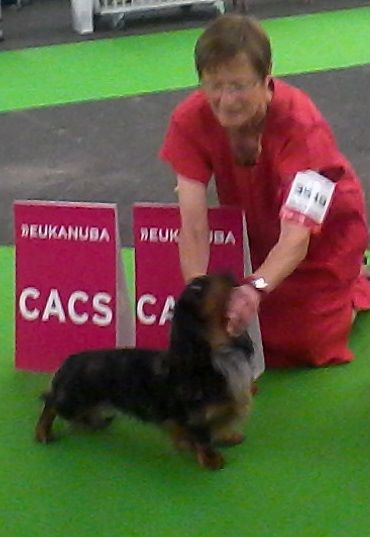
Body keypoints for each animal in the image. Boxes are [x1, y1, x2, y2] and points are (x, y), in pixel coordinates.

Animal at [34, 274, 254, 466]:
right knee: (50, 402)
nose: (229, 273)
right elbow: (202, 437)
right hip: (73, 401)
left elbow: (218, 425)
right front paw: (210, 458)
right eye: (197, 288)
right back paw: (42, 432)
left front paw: (227, 436)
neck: (219, 355)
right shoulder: (196, 416)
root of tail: (70, 360)